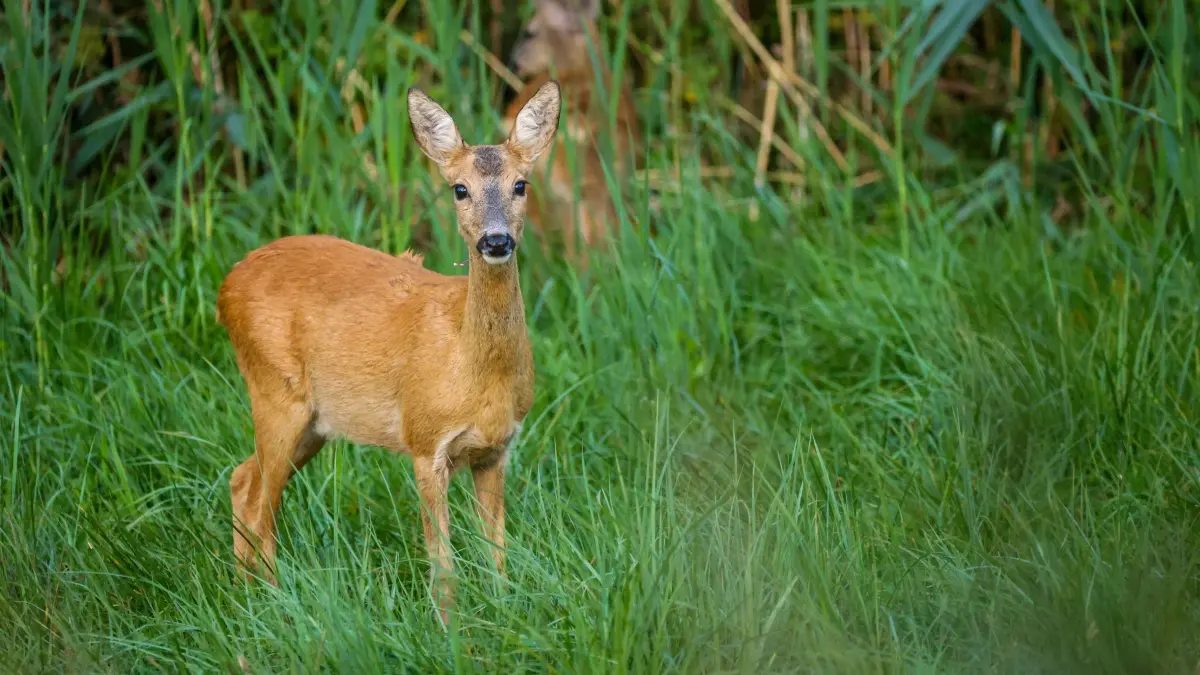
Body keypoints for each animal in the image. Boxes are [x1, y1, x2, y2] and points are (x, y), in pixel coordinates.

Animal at [216, 80, 562, 625]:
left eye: (521, 184)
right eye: (459, 189)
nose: (496, 240)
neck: (472, 370)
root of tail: (224, 288)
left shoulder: (497, 449)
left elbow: (498, 553)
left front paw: (505, 617)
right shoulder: (424, 441)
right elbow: (443, 564)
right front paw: (450, 630)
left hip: (315, 423)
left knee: (241, 477)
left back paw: (244, 596)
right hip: (275, 393)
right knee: (260, 504)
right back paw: (275, 608)